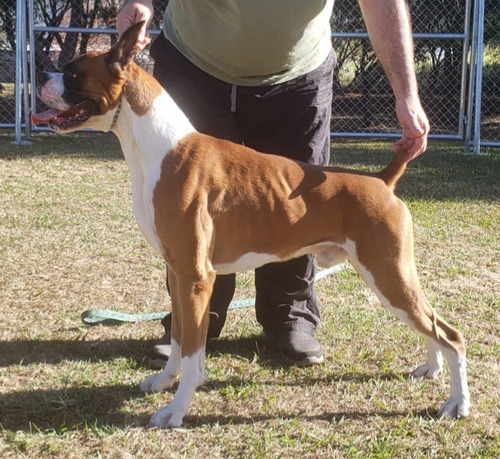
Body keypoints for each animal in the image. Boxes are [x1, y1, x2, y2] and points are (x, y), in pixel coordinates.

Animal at [31, 23, 468, 430]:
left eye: (72, 72)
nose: (41, 73)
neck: (159, 147)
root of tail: (382, 179)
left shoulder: (196, 277)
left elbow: (193, 353)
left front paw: (176, 410)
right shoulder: (177, 273)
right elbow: (178, 339)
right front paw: (163, 381)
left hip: (388, 274)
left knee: (450, 334)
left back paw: (457, 403)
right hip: (393, 277)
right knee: (431, 324)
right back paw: (431, 369)